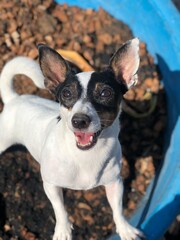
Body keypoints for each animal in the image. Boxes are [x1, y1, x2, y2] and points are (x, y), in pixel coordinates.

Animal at [0, 38, 143, 239]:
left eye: (105, 93)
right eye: (66, 94)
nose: (79, 120)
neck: (84, 155)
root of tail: (14, 99)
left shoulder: (115, 183)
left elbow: (118, 209)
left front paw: (125, 229)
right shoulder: (51, 185)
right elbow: (59, 209)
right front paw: (63, 230)